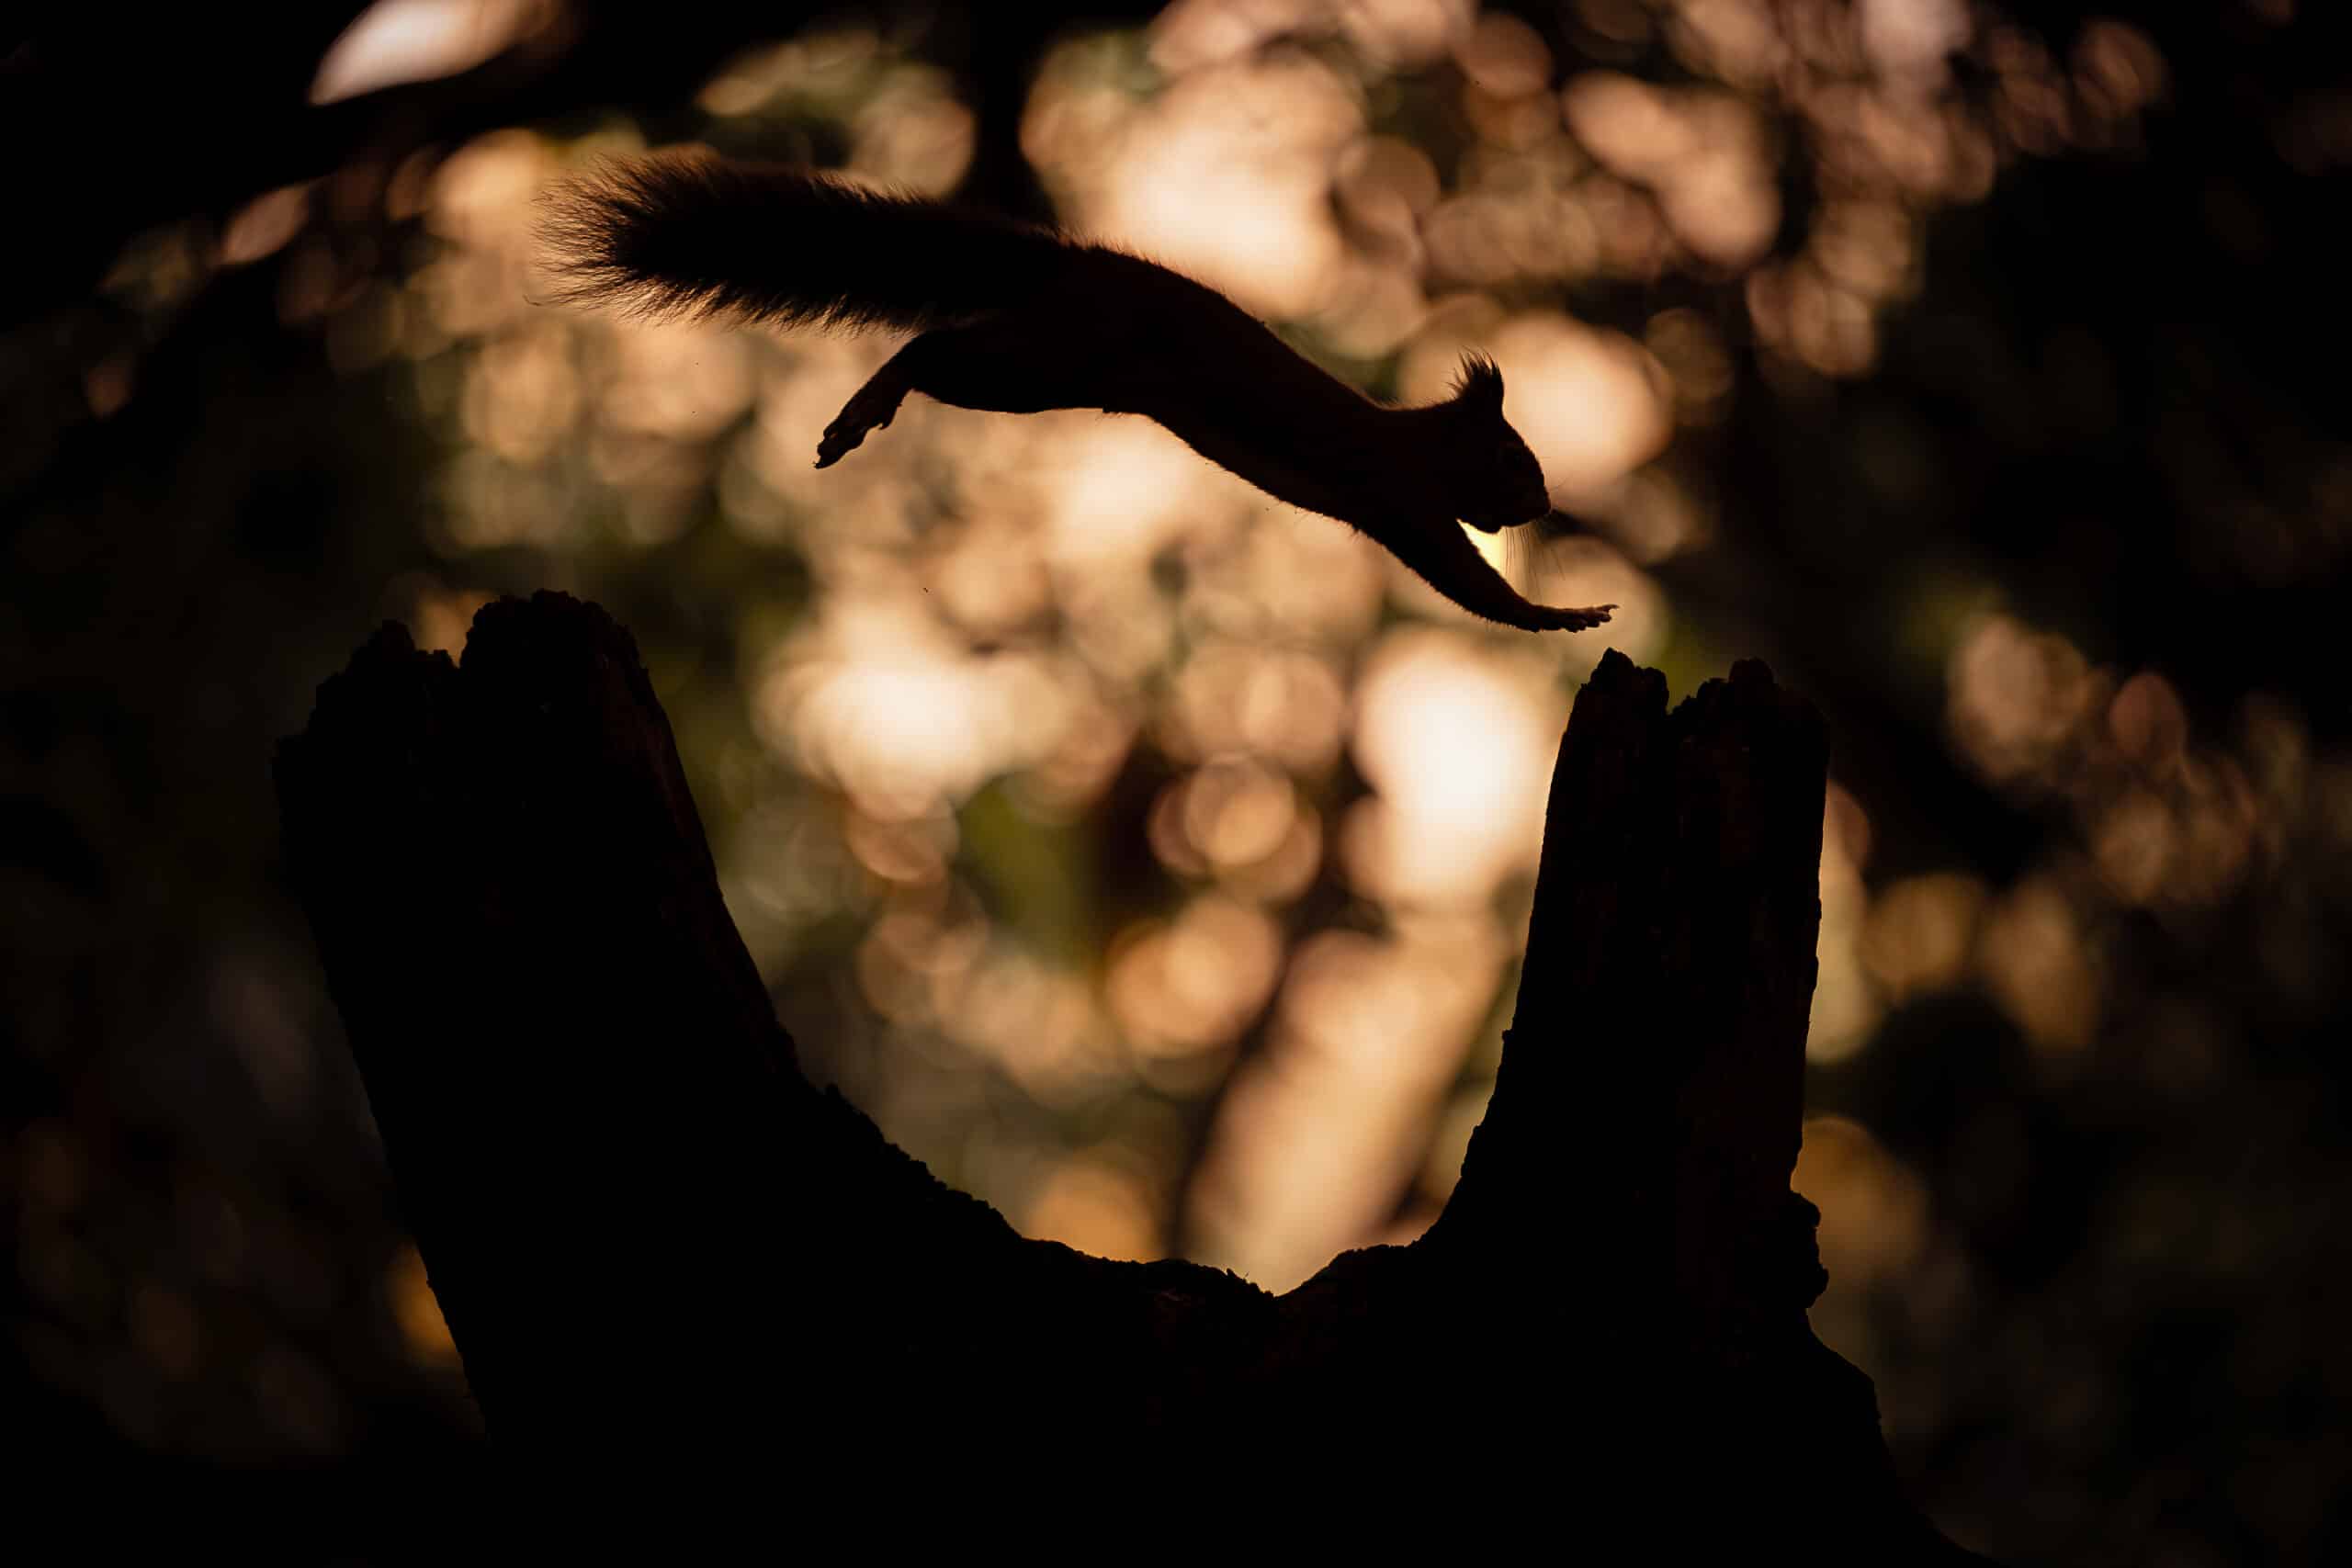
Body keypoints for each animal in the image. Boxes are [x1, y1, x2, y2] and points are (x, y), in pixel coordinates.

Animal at [537, 153, 1614, 635]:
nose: (1543, 505)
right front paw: (1558, 617)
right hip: (1046, 362)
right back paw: (865, 409)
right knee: (933, 348)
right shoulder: (1396, 493)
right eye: (1515, 458)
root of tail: (1072, 265)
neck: (1416, 442)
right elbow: (1461, 577)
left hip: (1047, 380)